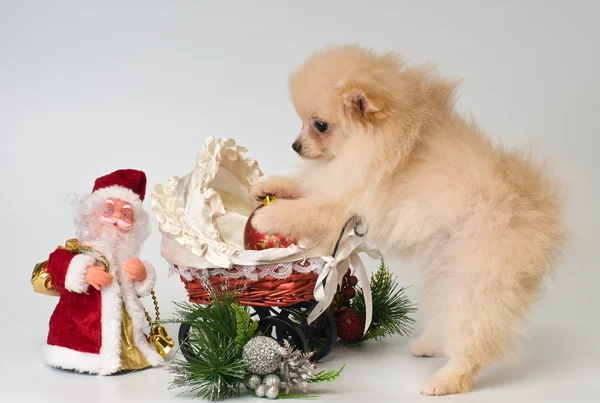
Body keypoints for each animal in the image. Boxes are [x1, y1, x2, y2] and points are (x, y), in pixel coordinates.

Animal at [250, 45, 568, 396]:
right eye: (303, 123)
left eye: (319, 125)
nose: (295, 145)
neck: (377, 143)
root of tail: (539, 210)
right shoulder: (336, 183)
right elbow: (304, 187)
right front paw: (268, 187)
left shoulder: (345, 204)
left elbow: (306, 210)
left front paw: (268, 216)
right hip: (448, 268)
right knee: (448, 313)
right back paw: (430, 345)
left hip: (480, 279)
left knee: (475, 334)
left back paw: (445, 381)